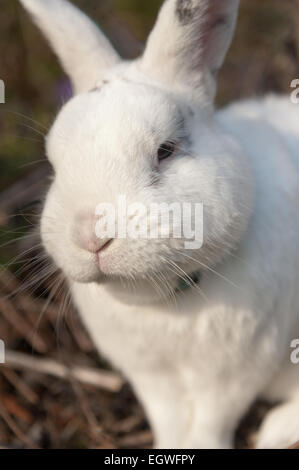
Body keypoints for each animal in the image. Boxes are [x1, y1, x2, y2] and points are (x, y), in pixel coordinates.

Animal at [19, 0, 299, 448]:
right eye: (54, 163)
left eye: (165, 150)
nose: (90, 235)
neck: (168, 301)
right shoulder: (152, 378)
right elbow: (168, 418)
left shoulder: (232, 375)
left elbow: (211, 419)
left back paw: (275, 430)